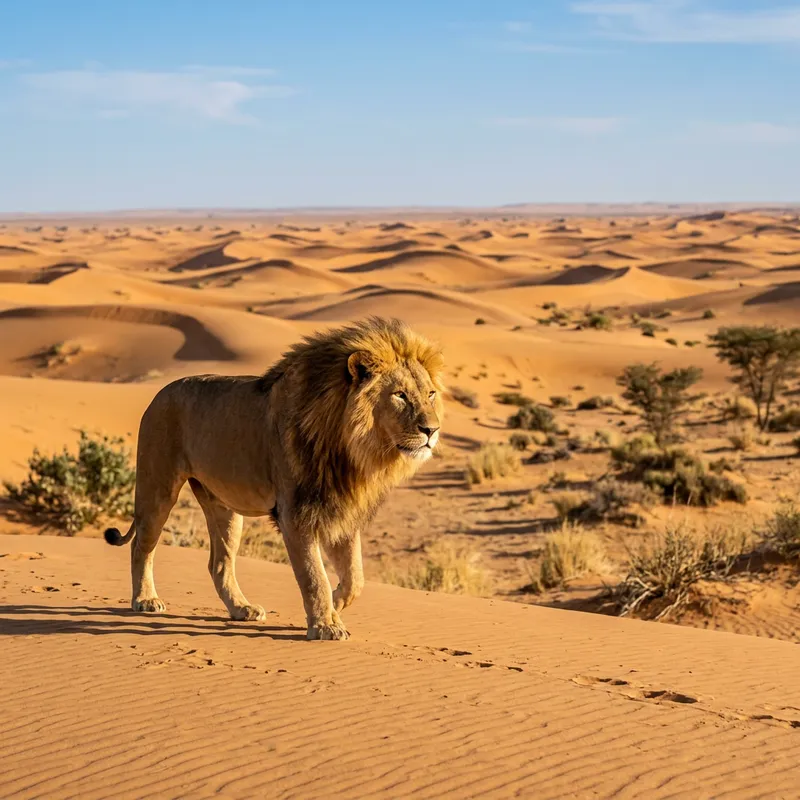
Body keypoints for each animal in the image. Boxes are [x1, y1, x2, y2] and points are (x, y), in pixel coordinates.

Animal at [104, 317, 444, 640]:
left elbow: (355, 579)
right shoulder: (296, 513)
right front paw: (325, 626)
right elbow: (314, 576)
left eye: (430, 394)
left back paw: (241, 609)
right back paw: (145, 600)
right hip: (158, 490)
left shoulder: (342, 509)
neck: (351, 449)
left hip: (224, 507)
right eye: (400, 395)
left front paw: (334, 608)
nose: (432, 430)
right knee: (142, 547)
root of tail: (160, 393)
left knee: (218, 563)